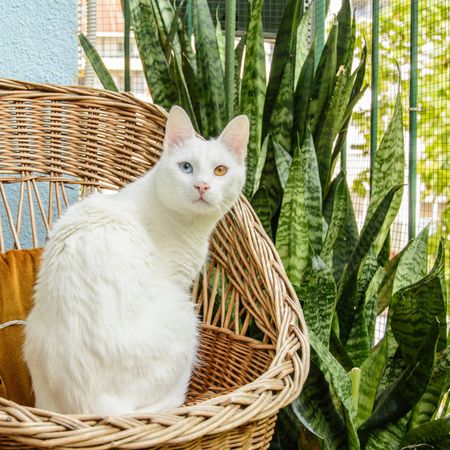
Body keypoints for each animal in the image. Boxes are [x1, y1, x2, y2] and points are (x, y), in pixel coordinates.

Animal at [23, 106, 250, 414]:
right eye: (186, 167)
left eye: (220, 170)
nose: (202, 186)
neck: (189, 225)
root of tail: (96, 408)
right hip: (187, 316)